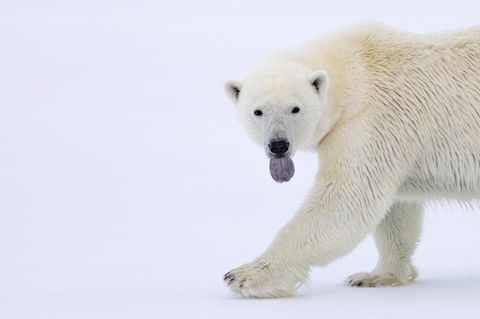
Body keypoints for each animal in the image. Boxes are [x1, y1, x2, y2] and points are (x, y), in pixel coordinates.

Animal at [223, 23, 480, 300]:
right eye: (258, 111)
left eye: (295, 108)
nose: (278, 145)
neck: (353, 72)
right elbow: (396, 211)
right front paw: (377, 276)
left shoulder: (369, 121)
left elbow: (347, 196)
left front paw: (244, 276)